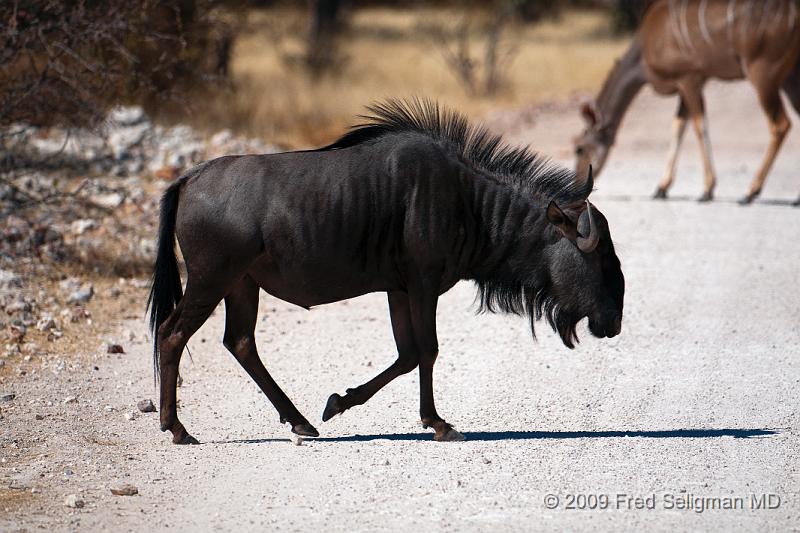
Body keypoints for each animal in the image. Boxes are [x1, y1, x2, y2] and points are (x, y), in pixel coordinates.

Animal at [576, 0, 800, 204]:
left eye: (579, 148)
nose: (578, 185)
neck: (645, 48)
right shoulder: (685, 87)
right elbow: (678, 127)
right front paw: (661, 188)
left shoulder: (689, 78)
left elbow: (699, 126)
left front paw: (707, 190)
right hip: (789, 77)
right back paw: (795, 198)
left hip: (762, 74)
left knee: (781, 124)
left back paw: (750, 192)